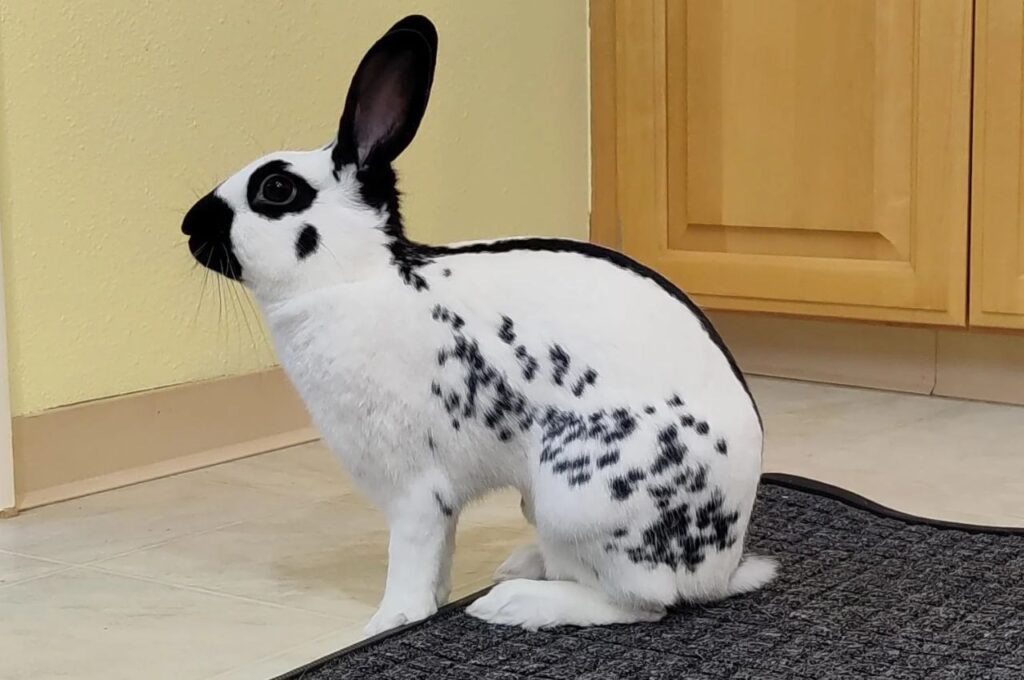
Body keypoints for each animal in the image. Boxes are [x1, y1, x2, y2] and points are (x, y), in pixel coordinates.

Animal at [181, 15, 776, 635]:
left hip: (579, 498)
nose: (188, 225)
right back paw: (520, 566)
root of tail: (721, 570)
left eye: (276, 189)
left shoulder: (414, 489)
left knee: (641, 602)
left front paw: (388, 622)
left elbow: (412, 558)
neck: (355, 276)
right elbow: (438, 558)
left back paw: (513, 602)